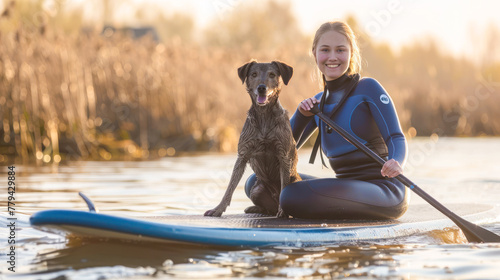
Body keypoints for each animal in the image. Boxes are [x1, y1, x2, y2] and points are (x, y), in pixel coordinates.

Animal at [203, 60, 300, 219]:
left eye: (272, 74)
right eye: (253, 74)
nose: (261, 88)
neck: (264, 115)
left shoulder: (283, 155)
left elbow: (284, 186)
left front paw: (283, 212)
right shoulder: (243, 154)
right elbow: (230, 187)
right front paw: (218, 209)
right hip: (257, 190)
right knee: (267, 208)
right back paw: (254, 208)